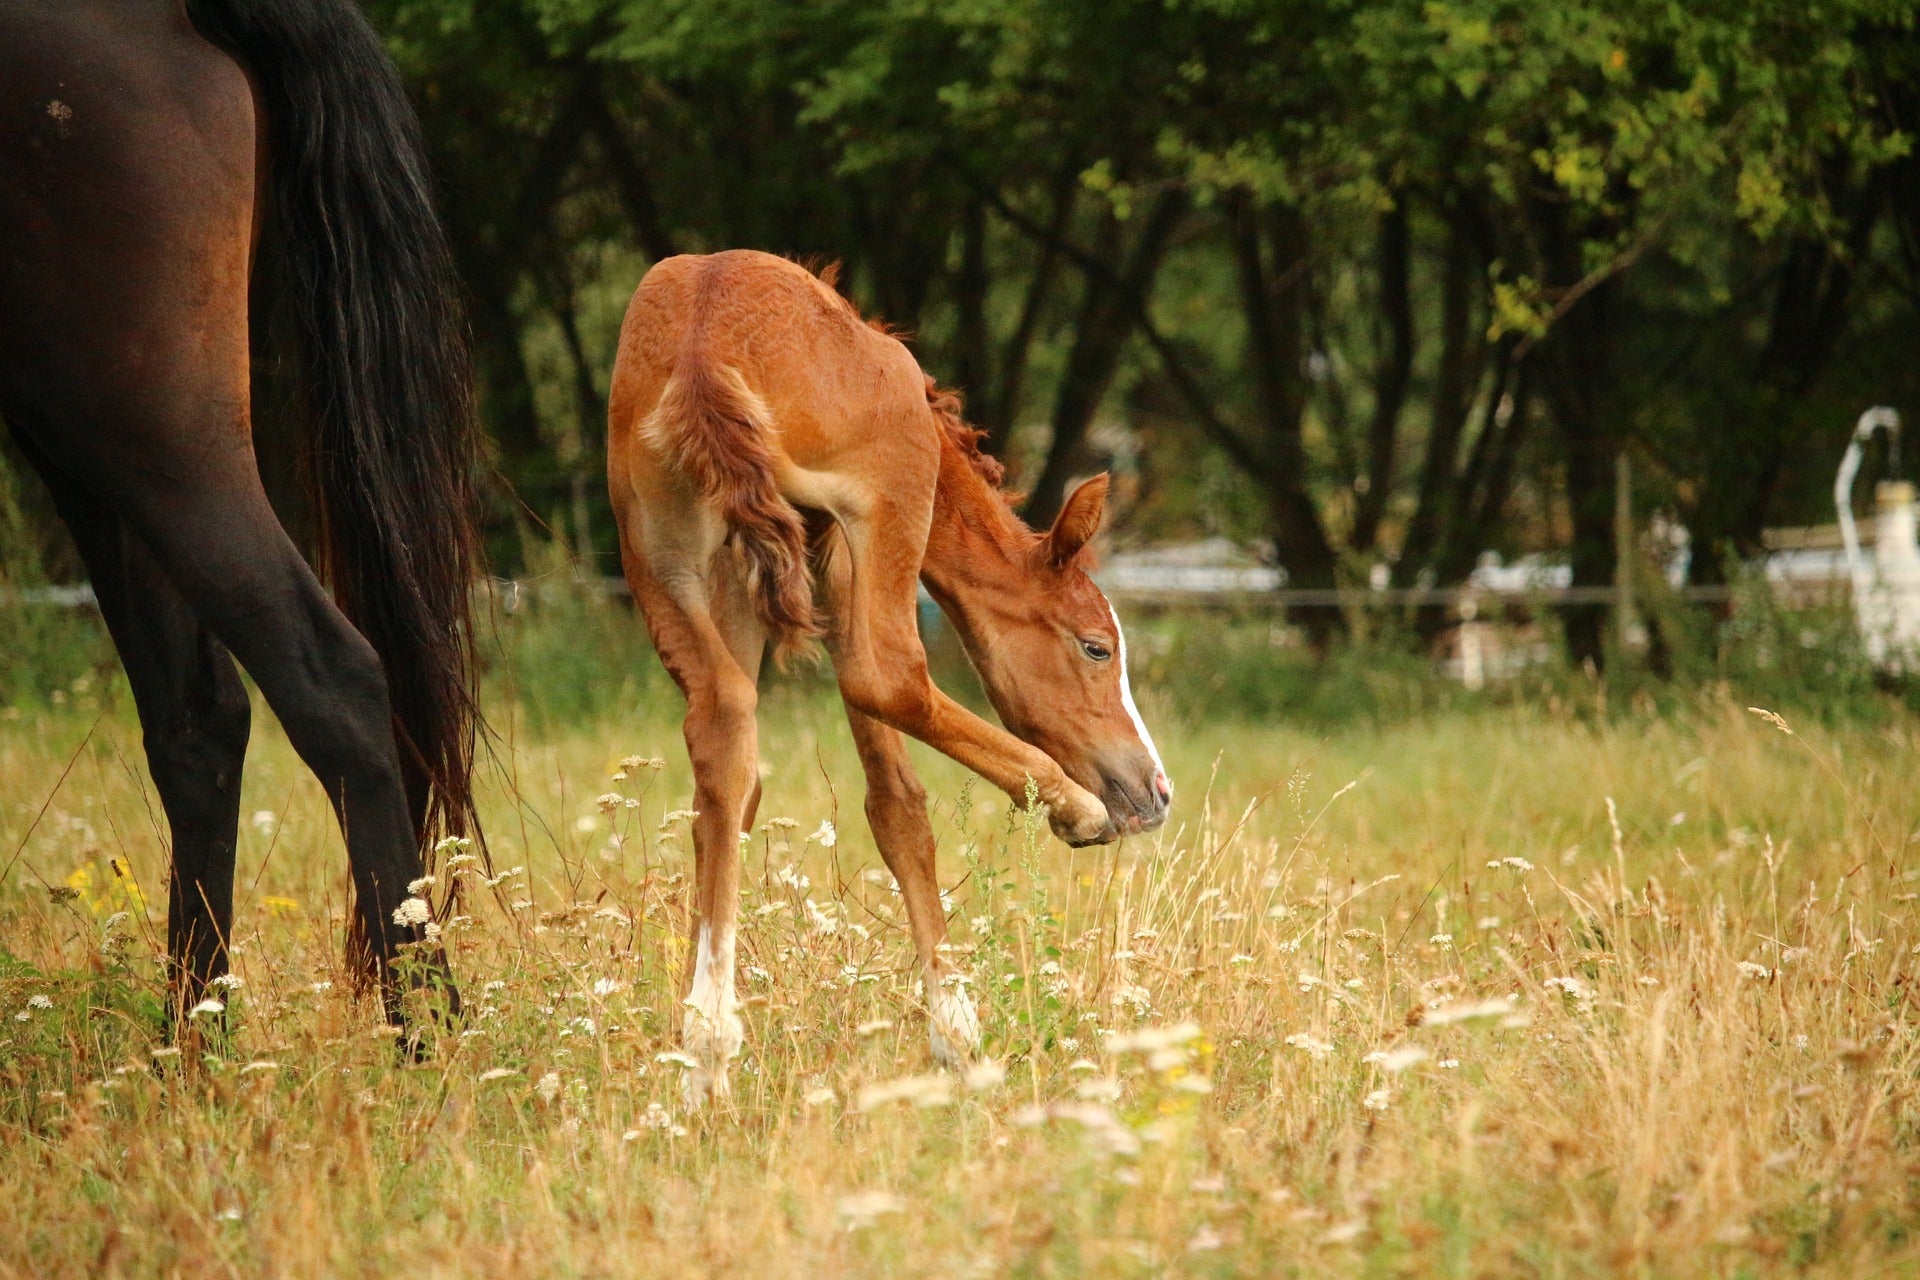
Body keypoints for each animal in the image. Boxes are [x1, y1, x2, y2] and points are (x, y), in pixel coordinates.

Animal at [1, 0, 480, 1028]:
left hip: (143, 429)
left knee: (326, 678)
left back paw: (428, 1032)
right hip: (94, 450)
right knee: (199, 721)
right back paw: (193, 1044)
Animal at [610, 253, 1167, 1105]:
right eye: (1097, 647)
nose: (1154, 790)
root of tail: (704, 354)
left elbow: (734, 798)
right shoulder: (842, 540)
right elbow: (897, 800)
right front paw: (957, 1035)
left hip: (663, 557)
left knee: (722, 736)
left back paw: (705, 1054)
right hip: (869, 515)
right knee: (889, 677)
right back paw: (1070, 804)